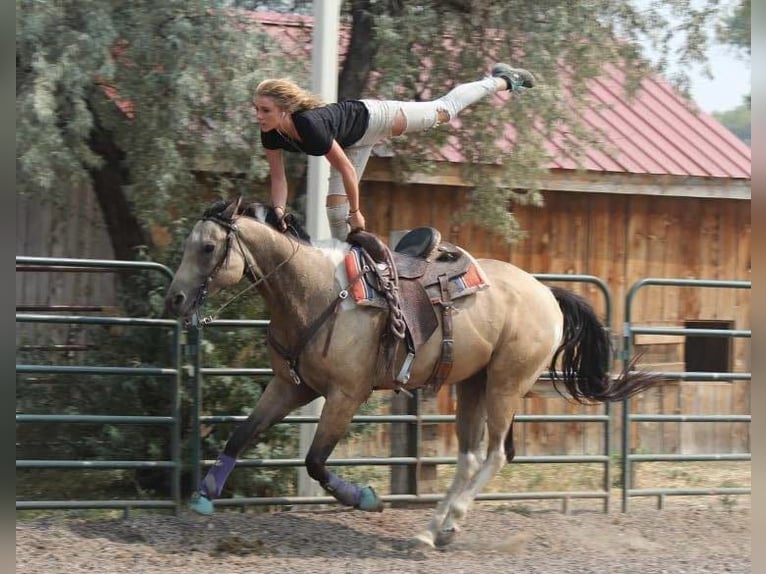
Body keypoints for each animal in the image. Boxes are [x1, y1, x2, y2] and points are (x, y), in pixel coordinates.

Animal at [164, 197, 661, 548]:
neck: (314, 291)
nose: (174, 299)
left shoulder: (345, 395)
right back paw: (430, 530)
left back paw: (451, 524)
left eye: (207, 247)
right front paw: (204, 493)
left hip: (506, 385)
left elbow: (316, 461)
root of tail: (546, 293)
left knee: (496, 455)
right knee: (471, 457)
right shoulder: (292, 386)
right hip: (474, 385)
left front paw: (365, 498)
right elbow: (240, 435)